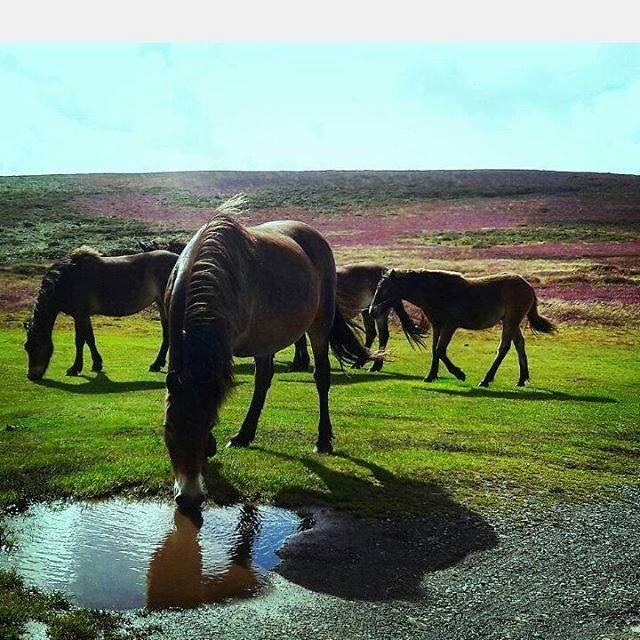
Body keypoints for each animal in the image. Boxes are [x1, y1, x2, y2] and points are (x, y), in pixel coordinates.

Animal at [24, 247, 178, 381]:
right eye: (26, 347)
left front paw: (74, 368)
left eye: (35, 345)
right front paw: (97, 364)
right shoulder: (84, 316)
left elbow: (79, 341)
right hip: (160, 304)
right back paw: (158, 364)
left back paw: (157, 364)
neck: (66, 280)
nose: (31, 375)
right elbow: (90, 339)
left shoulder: (79, 315)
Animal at [164, 201, 381, 508]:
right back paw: (244, 435)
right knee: (263, 380)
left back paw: (323, 439)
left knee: (321, 377)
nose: (189, 497)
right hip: (265, 340)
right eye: (169, 428)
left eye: (207, 425)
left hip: (319, 325)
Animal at [291, 262, 427, 372]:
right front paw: (301, 362)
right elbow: (300, 340)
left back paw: (375, 365)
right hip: (367, 311)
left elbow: (299, 341)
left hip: (379, 312)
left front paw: (298, 363)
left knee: (383, 335)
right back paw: (360, 362)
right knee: (371, 333)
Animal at [369, 269, 555, 387]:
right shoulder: (437, 325)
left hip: (511, 320)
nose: (372, 311)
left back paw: (486, 379)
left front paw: (459, 373)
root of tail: (527, 285)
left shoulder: (450, 325)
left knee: (504, 347)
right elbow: (435, 350)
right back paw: (522, 379)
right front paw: (431, 376)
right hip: (511, 322)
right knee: (519, 344)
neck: (437, 292)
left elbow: (440, 350)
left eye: (384, 290)